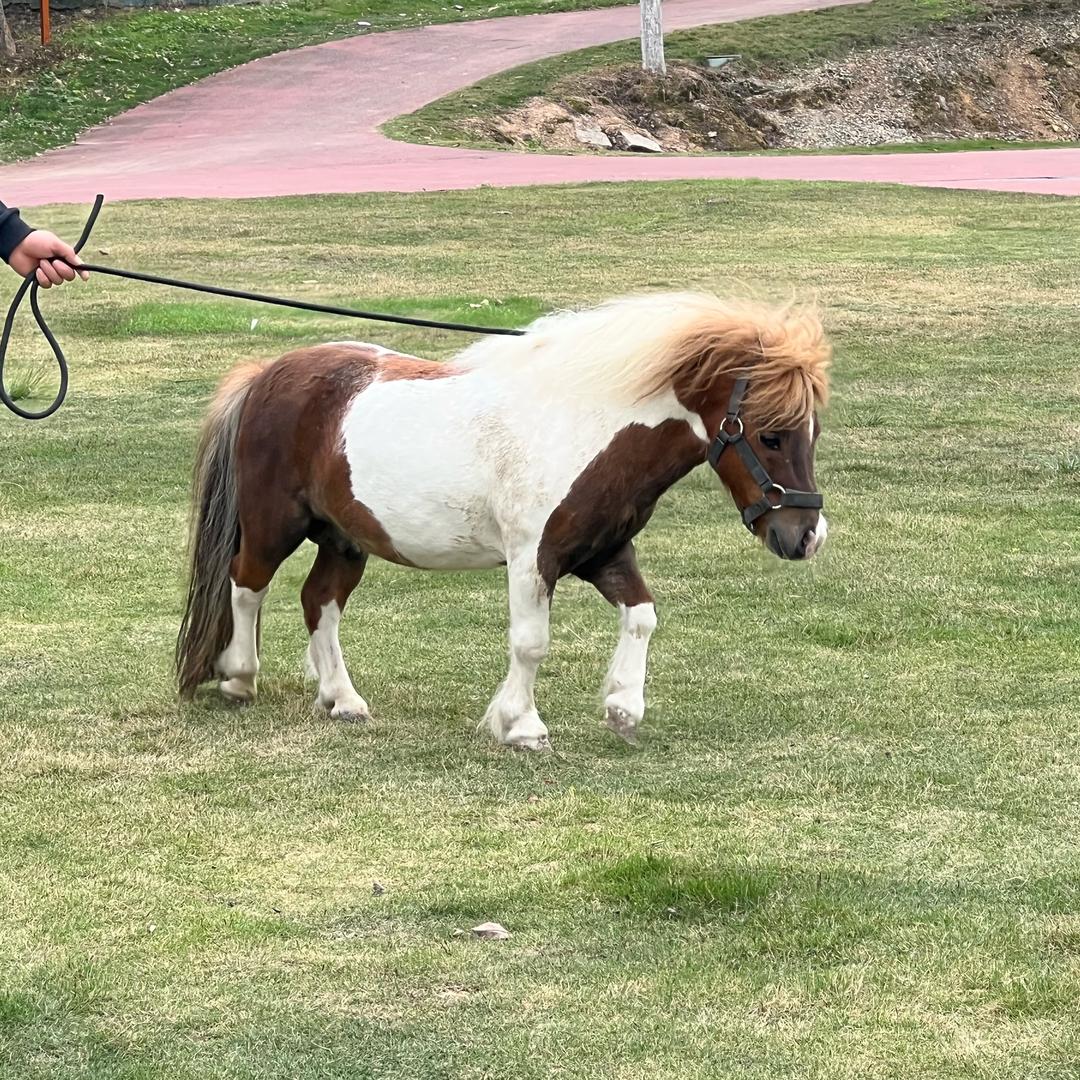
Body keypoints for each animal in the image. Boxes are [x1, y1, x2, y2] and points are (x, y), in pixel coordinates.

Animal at [175, 291, 831, 749]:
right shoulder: (532, 558)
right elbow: (531, 642)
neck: (583, 425)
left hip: (345, 539)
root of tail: (266, 375)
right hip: (273, 524)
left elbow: (642, 616)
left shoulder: (604, 552)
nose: (805, 537)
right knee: (246, 585)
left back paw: (343, 699)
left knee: (320, 601)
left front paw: (623, 708)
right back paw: (239, 678)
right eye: (770, 435)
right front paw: (522, 726)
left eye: (812, 431)